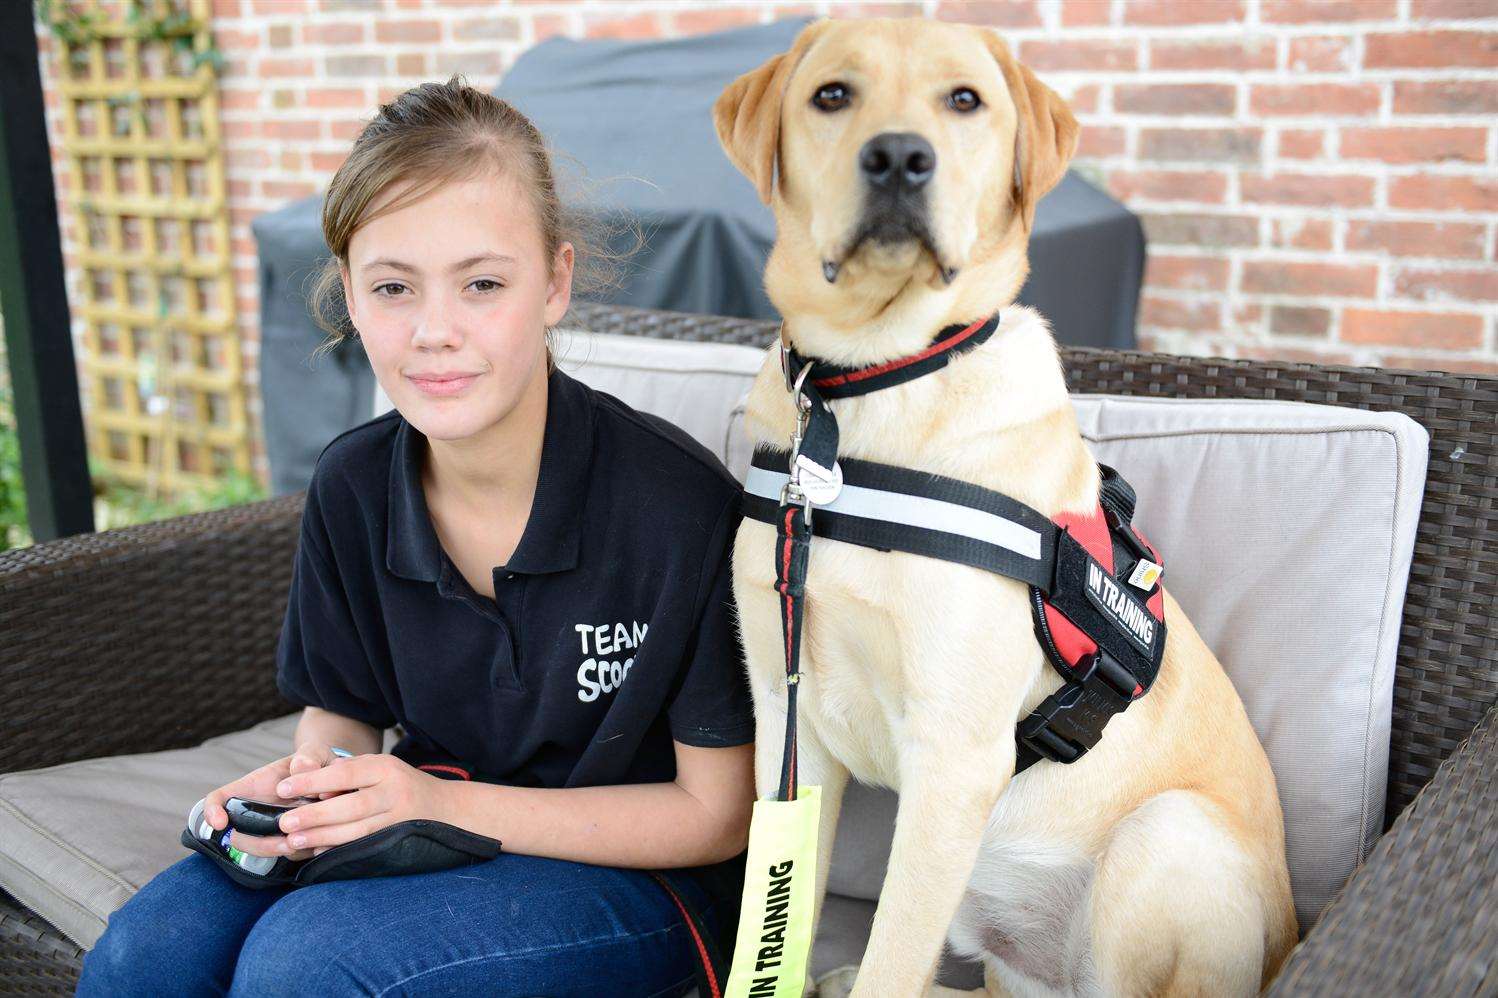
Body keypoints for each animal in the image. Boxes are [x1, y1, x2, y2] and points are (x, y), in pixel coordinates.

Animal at [713, 17, 1300, 995]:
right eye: (832, 95)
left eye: (965, 101)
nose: (900, 158)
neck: (871, 384)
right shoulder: (786, 722)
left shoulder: (954, 759)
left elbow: (893, 957)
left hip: (1163, 838)